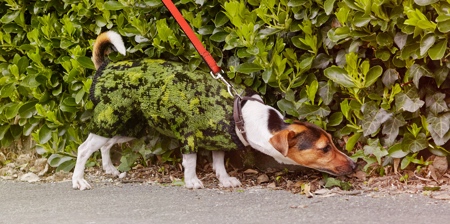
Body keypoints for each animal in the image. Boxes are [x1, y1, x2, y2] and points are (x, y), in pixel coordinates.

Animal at [71, 30, 356, 190]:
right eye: (324, 149)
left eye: (332, 143)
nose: (354, 164)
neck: (245, 116)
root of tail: (105, 67)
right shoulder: (190, 138)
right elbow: (191, 162)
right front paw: (192, 181)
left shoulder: (220, 140)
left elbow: (219, 162)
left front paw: (225, 179)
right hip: (111, 119)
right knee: (84, 149)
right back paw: (79, 180)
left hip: (128, 126)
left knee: (106, 145)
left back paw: (109, 168)